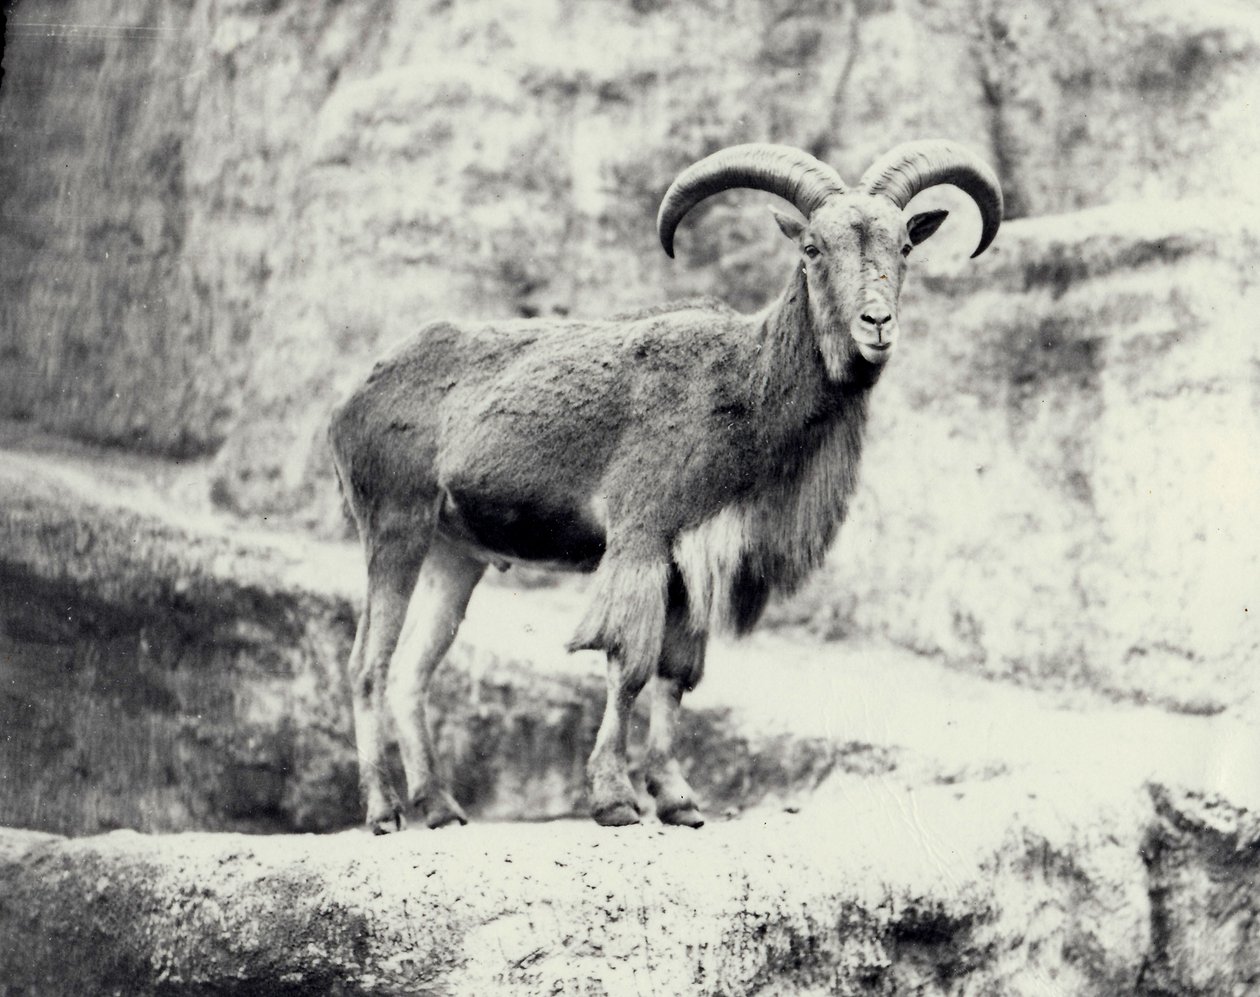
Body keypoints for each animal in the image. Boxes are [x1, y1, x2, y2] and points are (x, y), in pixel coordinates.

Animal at [330, 138, 997, 826]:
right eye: (812, 248)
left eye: (905, 246)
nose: (876, 323)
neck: (743, 386)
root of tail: (355, 399)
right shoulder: (642, 537)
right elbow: (629, 664)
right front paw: (614, 798)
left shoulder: (693, 560)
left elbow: (677, 674)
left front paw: (678, 798)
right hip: (396, 526)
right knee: (367, 664)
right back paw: (383, 810)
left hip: (455, 554)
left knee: (411, 669)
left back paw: (439, 805)